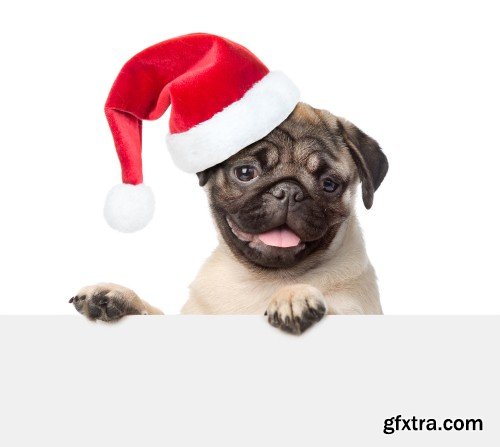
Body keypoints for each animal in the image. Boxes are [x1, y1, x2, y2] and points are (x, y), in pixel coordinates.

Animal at [70, 103, 388, 334]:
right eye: (246, 173)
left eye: (329, 185)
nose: (288, 191)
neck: (262, 281)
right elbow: (156, 314)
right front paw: (120, 297)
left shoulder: (358, 312)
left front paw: (294, 296)